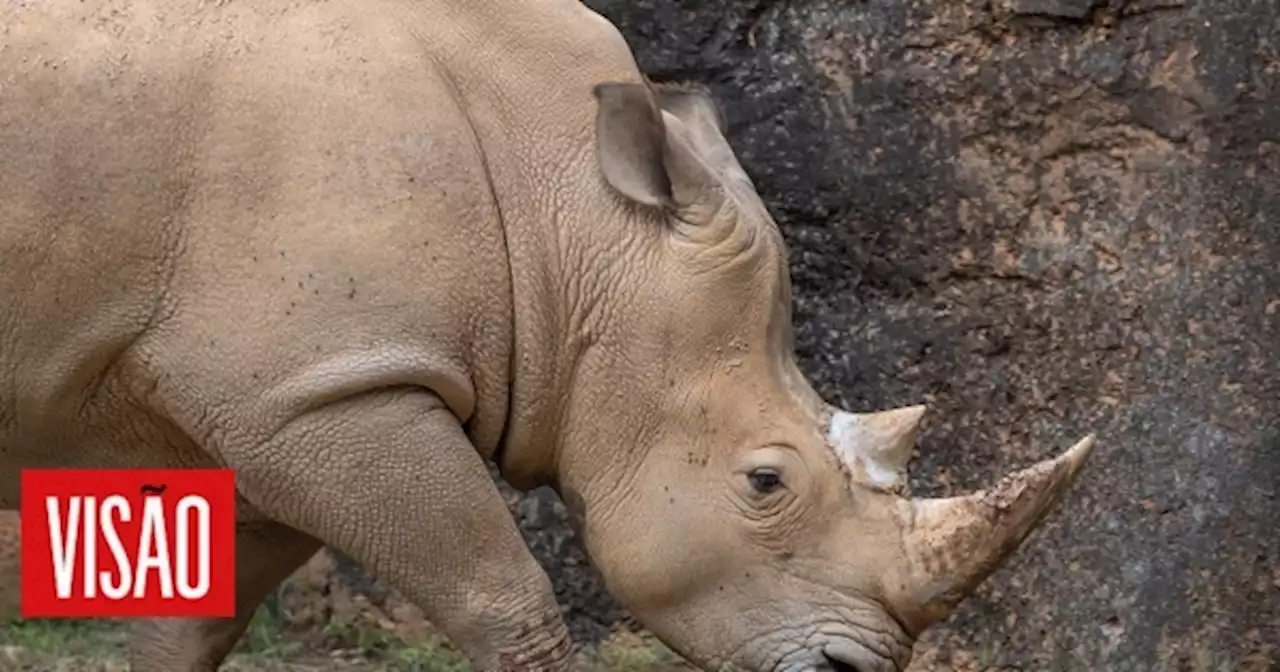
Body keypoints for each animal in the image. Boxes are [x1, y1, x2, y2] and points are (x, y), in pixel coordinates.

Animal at [2, 0, 1100, 665]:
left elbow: (189, 624)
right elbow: (502, 595)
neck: (570, 216)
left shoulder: (271, 404)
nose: (849, 670)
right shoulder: (327, 389)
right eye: (763, 482)